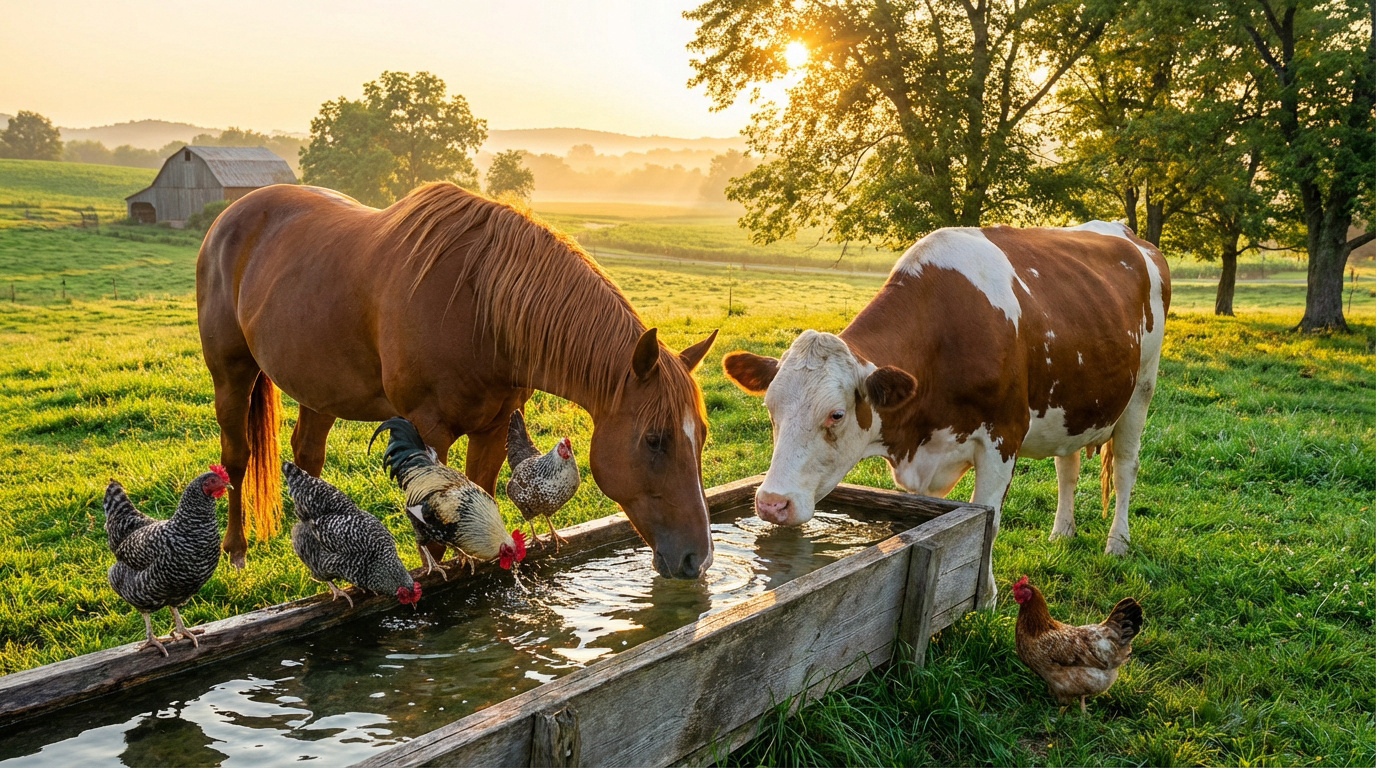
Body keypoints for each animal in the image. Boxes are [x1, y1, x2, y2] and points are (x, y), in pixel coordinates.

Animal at [196, 182, 718, 579]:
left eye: (702, 436)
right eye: (654, 440)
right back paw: (236, 551)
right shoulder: (429, 431)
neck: (480, 306)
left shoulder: (494, 426)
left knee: (307, 455)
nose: (698, 559)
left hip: (319, 388)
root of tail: (232, 215)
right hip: (231, 375)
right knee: (237, 458)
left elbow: (479, 495)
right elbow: (433, 531)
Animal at [723, 222, 1170, 607]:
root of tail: (1127, 233)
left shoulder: (1003, 437)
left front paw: (985, 599)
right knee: (1068, 468)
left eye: (836, 414)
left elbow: (989, 522)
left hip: (1141, 391)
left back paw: (1117, 544)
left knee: (1126, 468)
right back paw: (1061, 534)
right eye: (770, 408)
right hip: (1074, 404)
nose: (771, 504)